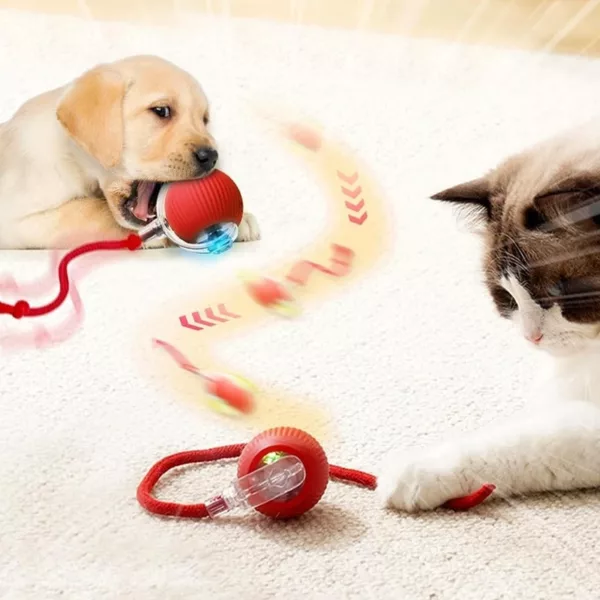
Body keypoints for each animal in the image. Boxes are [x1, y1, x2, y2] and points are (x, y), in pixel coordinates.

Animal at [0, 55, 260, 249]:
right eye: (162, 111)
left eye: (204, 120)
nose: (211, 157)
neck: (74, 159)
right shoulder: (14, 217)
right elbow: (89, 210)